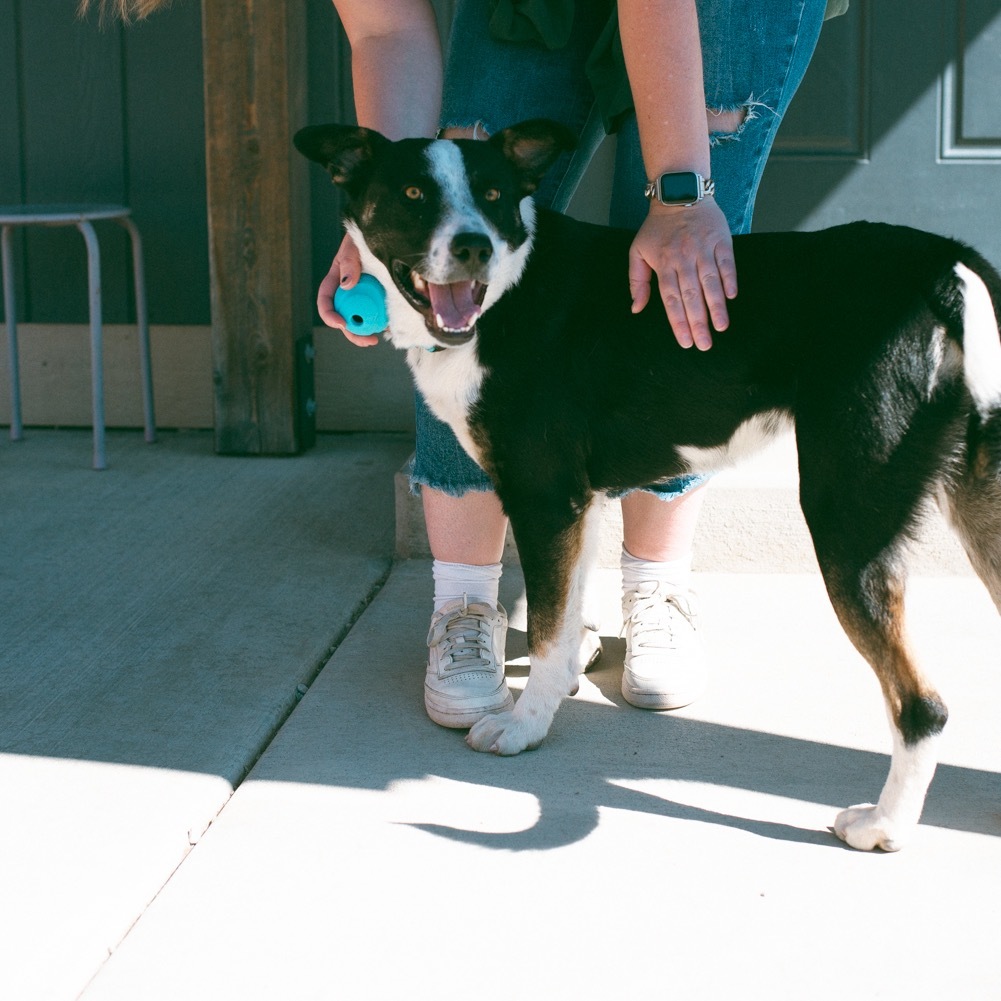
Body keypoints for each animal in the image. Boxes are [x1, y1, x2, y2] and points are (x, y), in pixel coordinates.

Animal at [294, 117, 1001, 852]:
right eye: (412, 193)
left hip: (847, 521)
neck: (507, 291)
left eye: (491, 194)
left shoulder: (543, 499)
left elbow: (544, 631)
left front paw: (524, 726)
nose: (473, 246)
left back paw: (884, 824)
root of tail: (945, 265)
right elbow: (565, 617)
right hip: (980, 505)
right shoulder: (577, 506)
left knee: (922, 704)